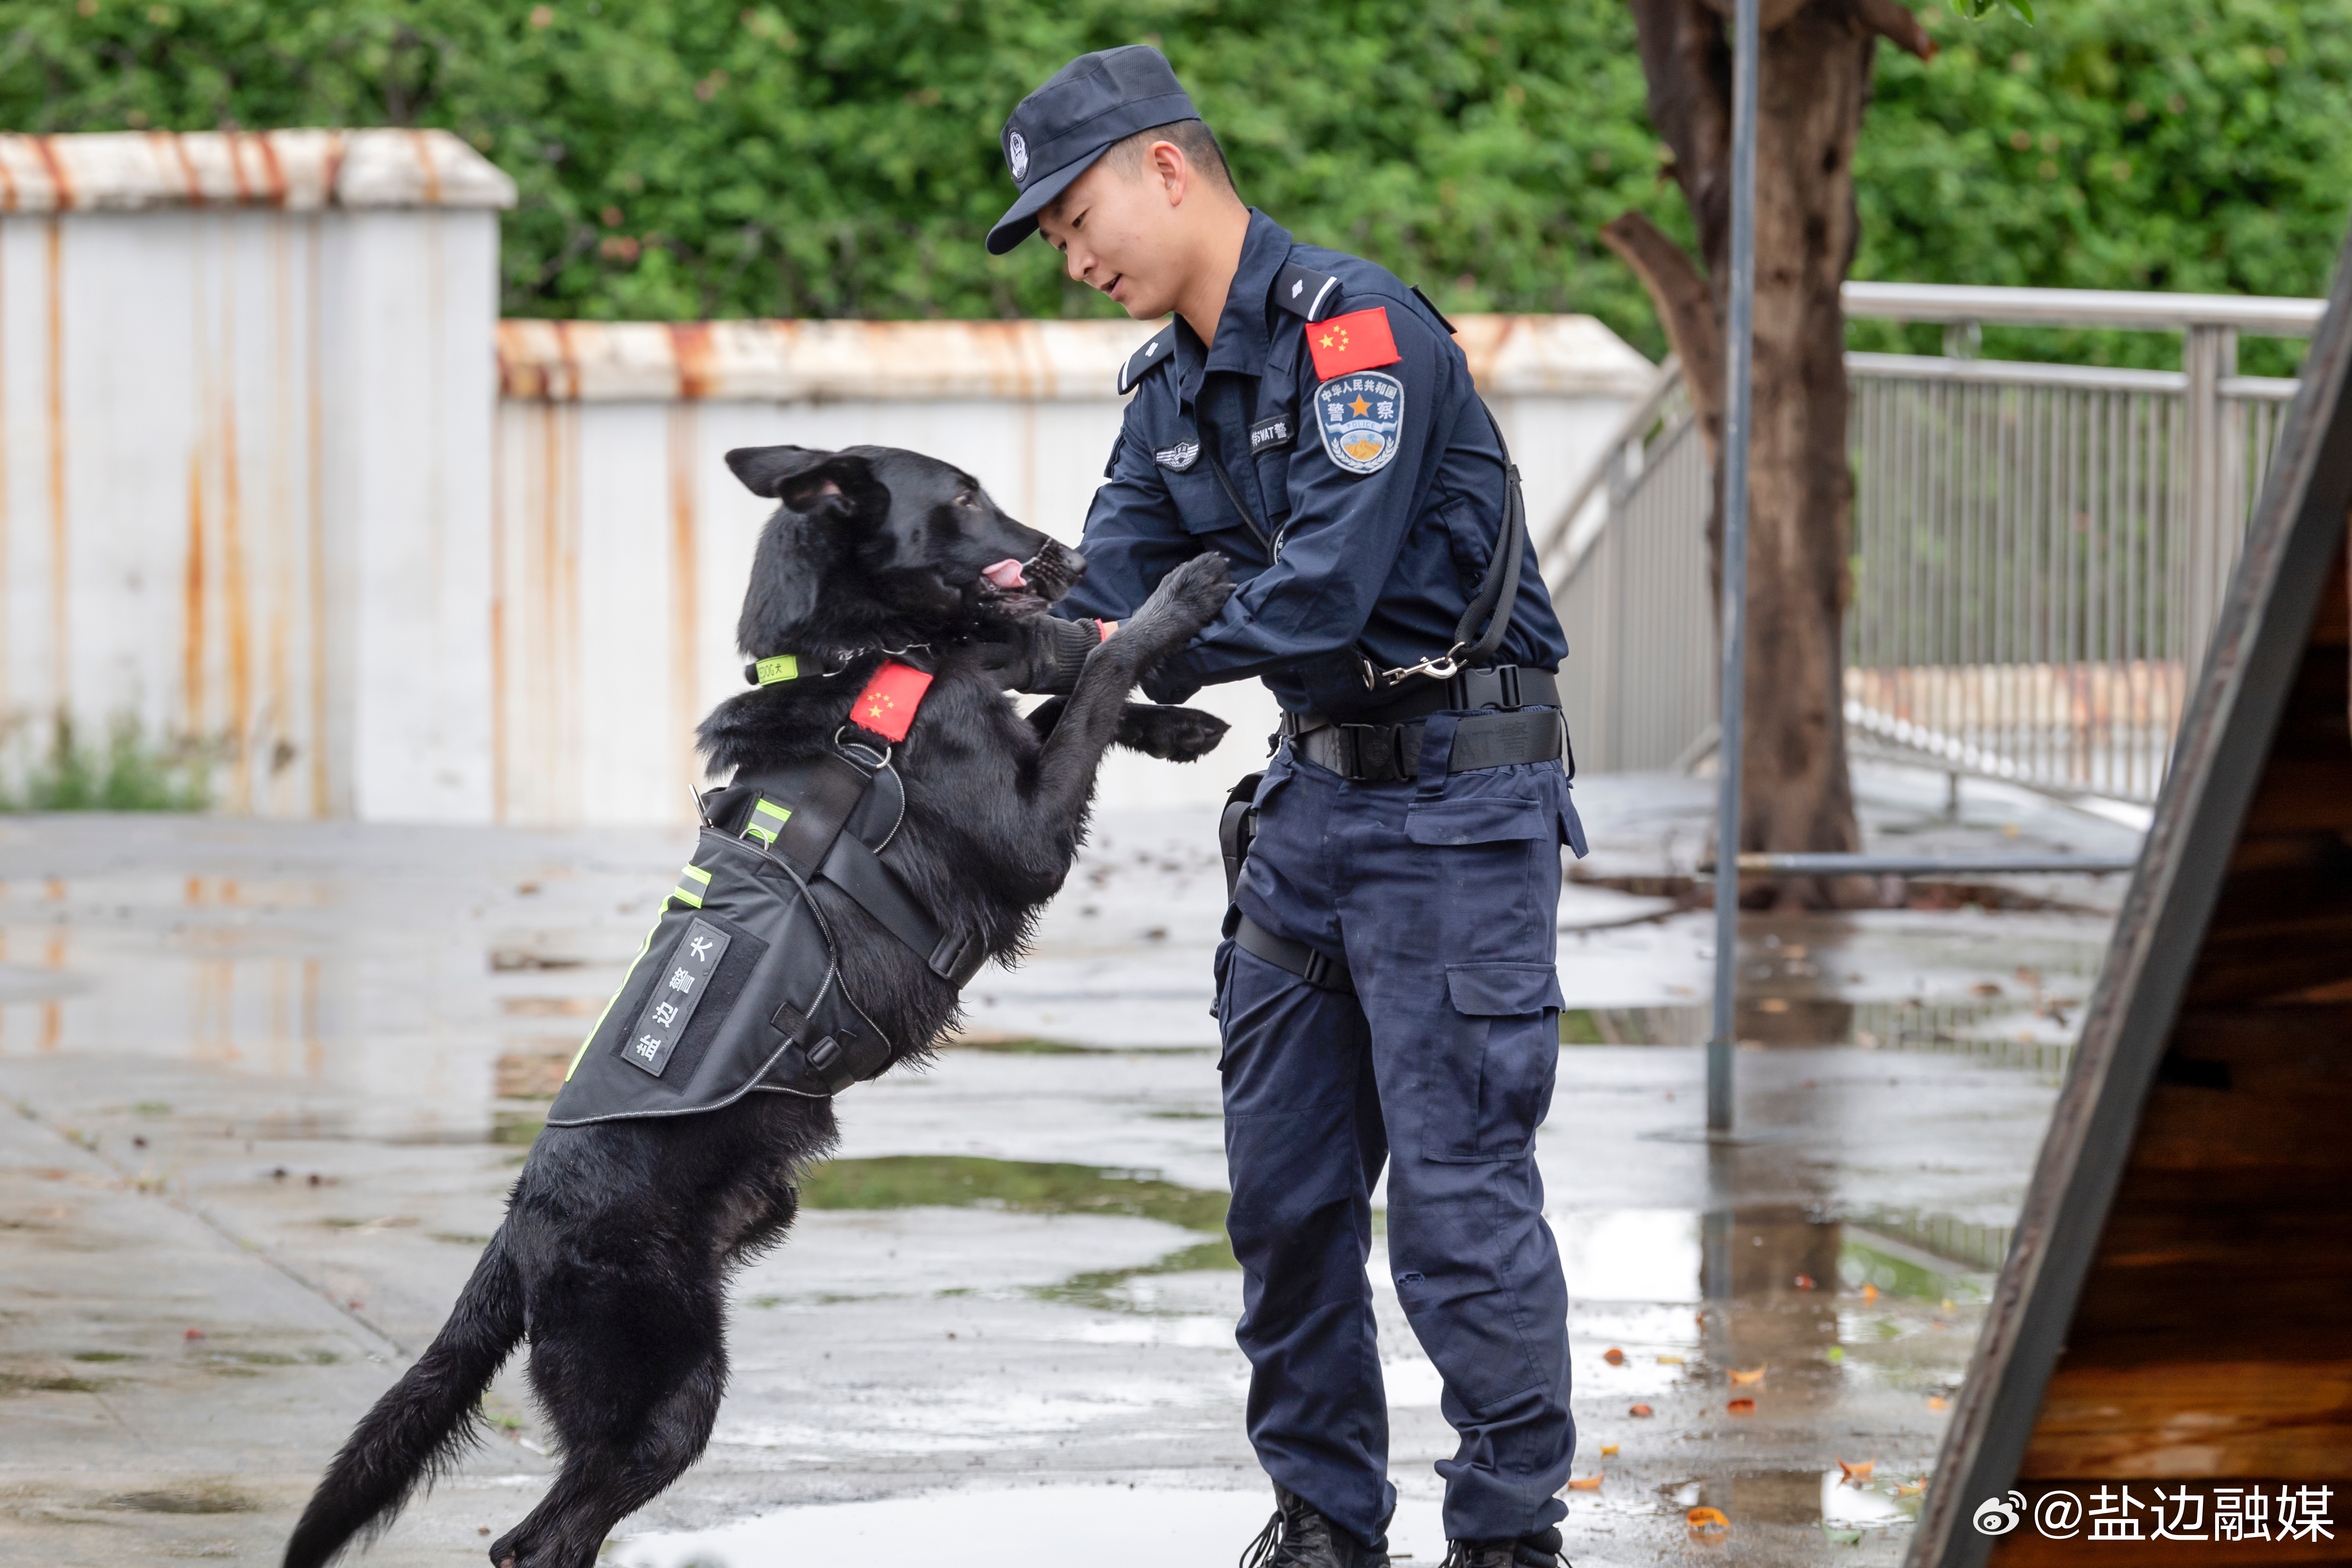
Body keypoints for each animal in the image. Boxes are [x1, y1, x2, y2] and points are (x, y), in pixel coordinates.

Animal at [287, 442, 1241, 1568]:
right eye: (963, 497)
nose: (1080, 556)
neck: (859, 669)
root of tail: (517, 1232)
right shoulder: (1033, 844)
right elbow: (1088, 684)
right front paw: (1173, 606)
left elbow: (1058, 697)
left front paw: (1174, 722)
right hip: (665, 1391)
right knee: (540, 1538)